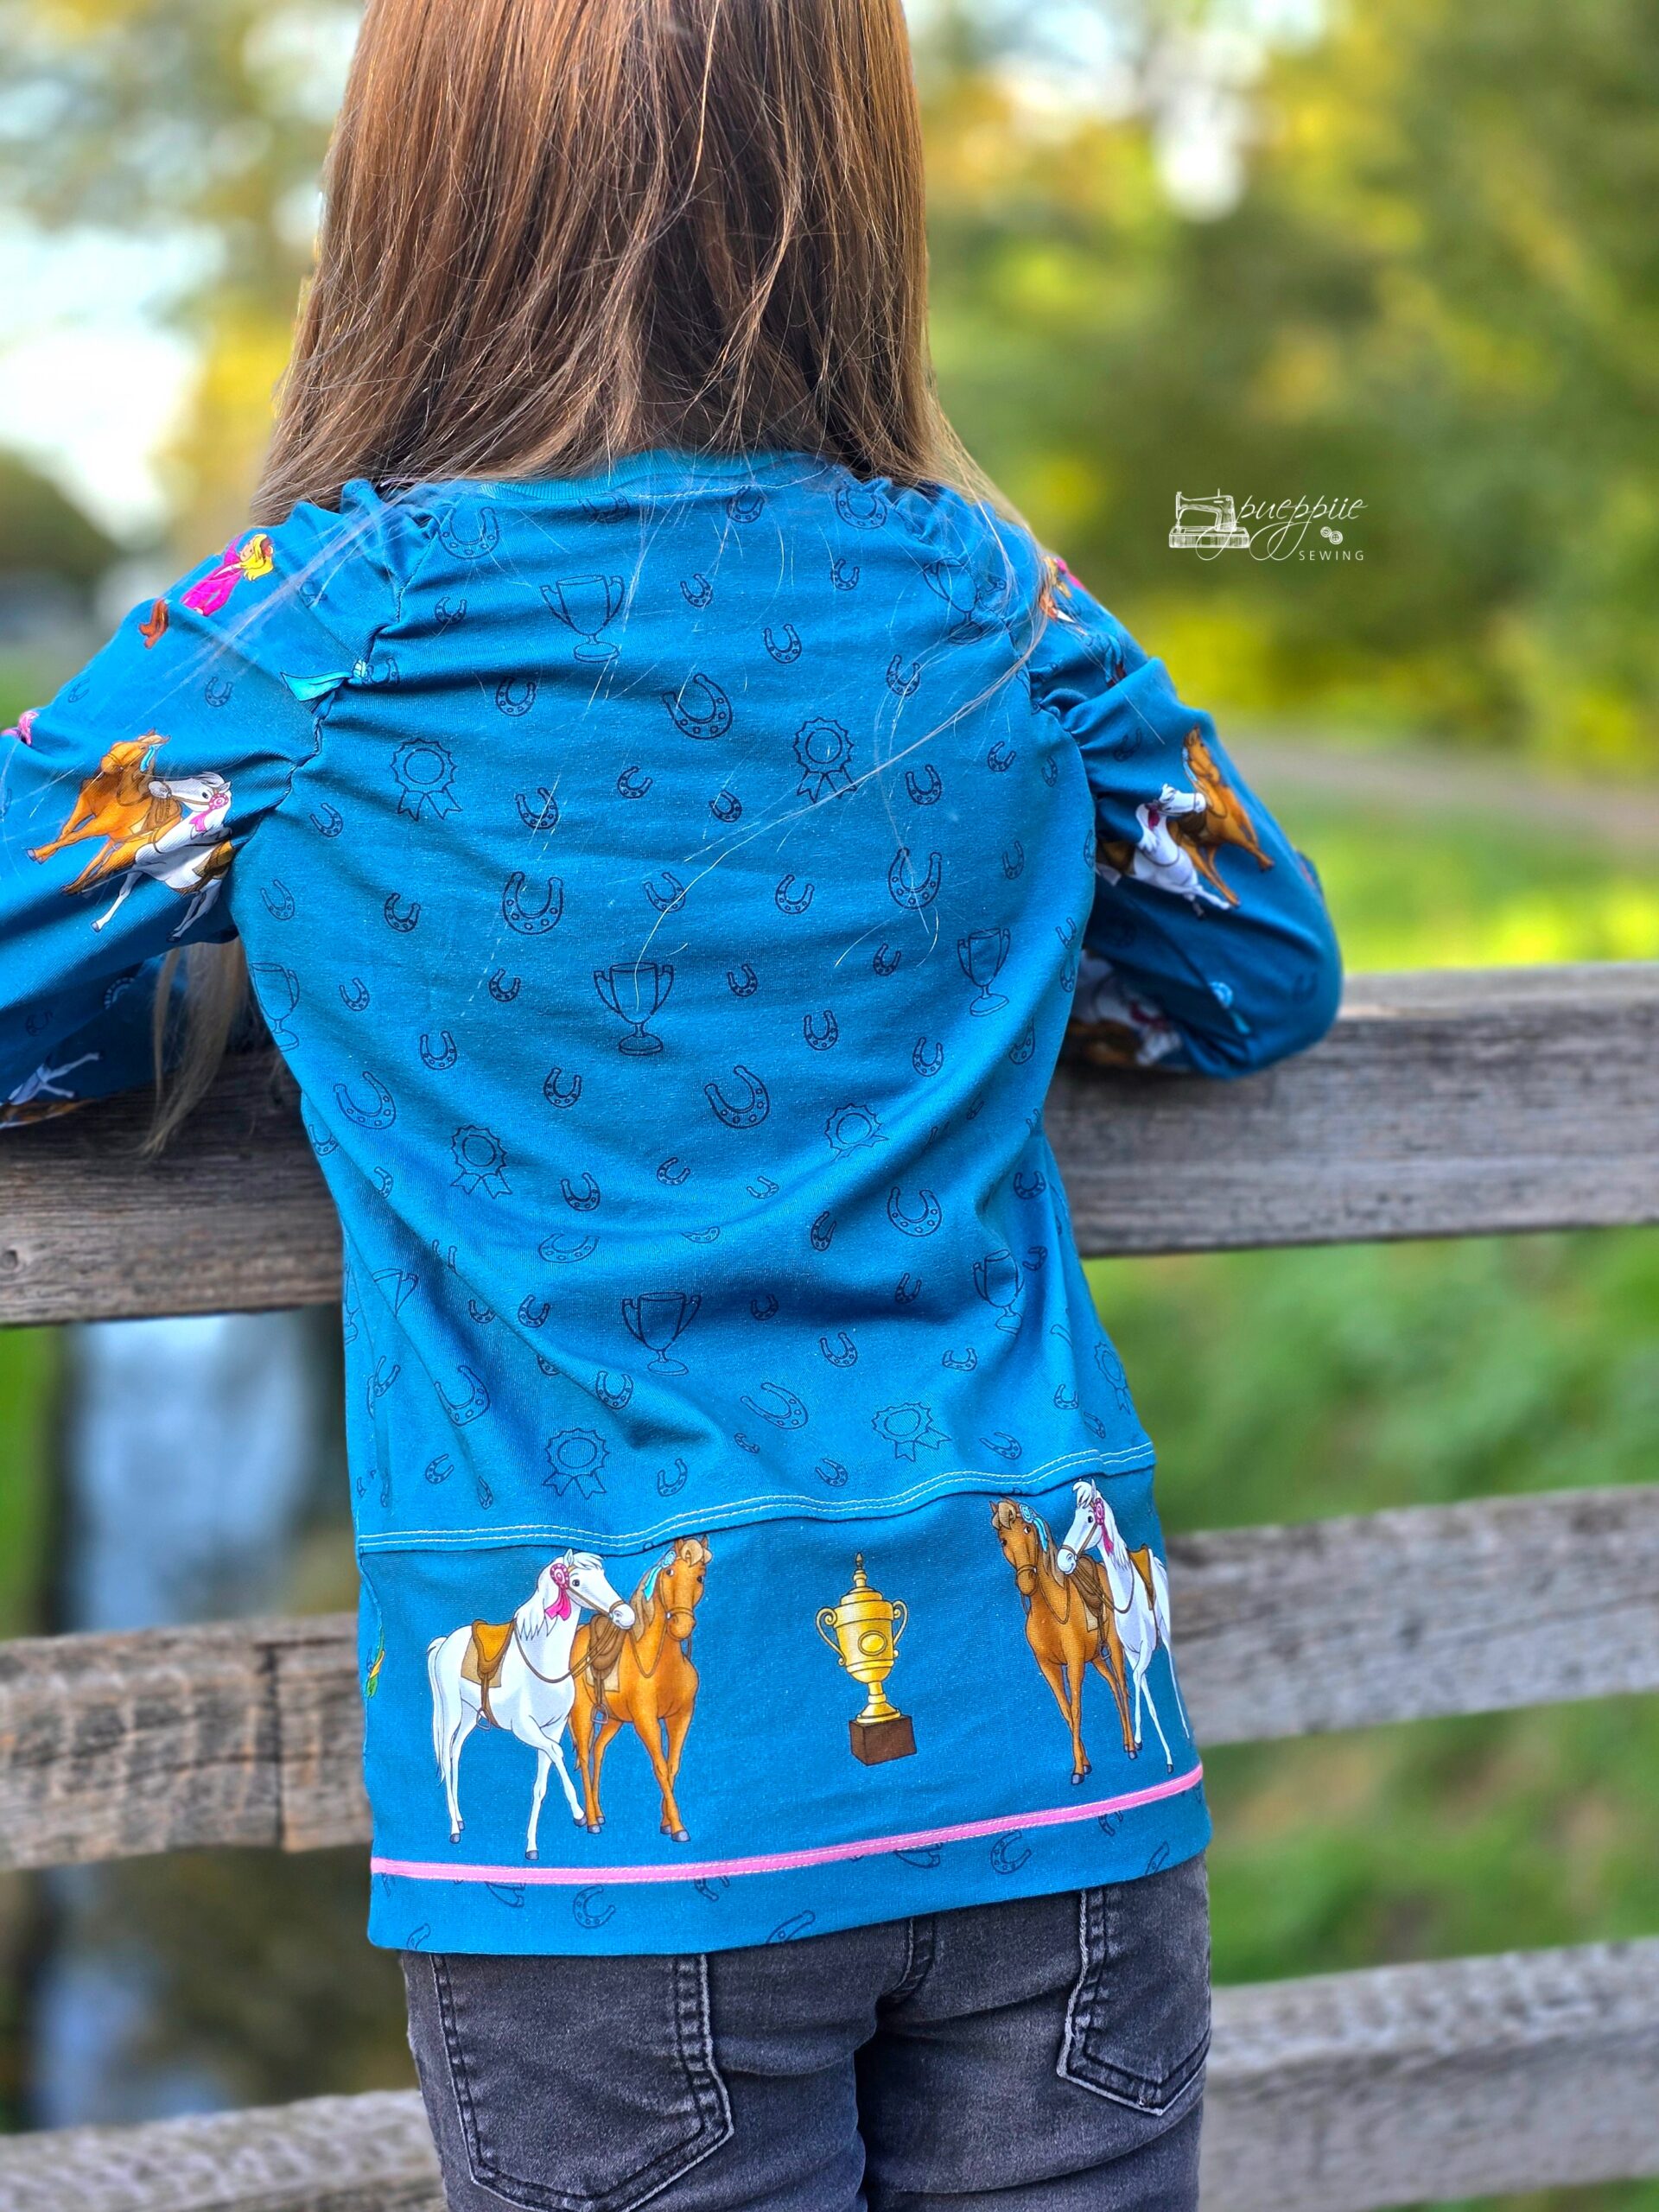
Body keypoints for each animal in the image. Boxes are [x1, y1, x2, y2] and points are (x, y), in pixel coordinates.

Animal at [427, 1553, 634, 1860]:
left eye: (603, 1575)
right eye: (575, 1582)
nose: (626, 1616)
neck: (542, 1662)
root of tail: (445, 1643)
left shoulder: (552, 1728)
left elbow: (541, 1785)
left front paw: (532, 1846)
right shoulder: (526, 1729)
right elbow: (558, 1753)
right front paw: (579, 1814)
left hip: (470, 1715)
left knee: (455, 1754)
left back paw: (461, 1820)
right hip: (452, 1711)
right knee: (446, 1754)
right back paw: (453, 1828)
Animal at [570, 1534, 711, 1843]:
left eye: (699, 1577)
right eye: (670, 1573)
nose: (682, 1626)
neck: (658, 1662)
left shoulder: (681, 1716)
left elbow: (672, 1766)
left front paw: (667, 1822)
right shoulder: (646, 1720)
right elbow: (659, 1766)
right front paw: (678, 1828)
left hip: (613, 1719)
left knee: (598, 1751)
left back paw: (599, 1813)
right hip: (582, 1713)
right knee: (584, 1757)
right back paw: (592, 1821)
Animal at [990, 1498, 1134, 1785]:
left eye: (1027, 1530)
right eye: (1002, 1540)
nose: (1026, 1582)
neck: (1050, 1610)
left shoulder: (1075, 1662)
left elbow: (1076, 1709)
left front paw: (1077, 1770)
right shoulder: (1047, 1666)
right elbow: (1066, 1710)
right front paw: (1084, 1764)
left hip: (1113, 1647)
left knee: (1122, 1686)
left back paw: (1132, 1746)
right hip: (1096, 1657)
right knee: (1113, 1686)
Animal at [1056, 1480, 1185, 1769]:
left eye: (1089, 1518)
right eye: (1074, 1517)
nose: (1063, 1561)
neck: (1127, 1593)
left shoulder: (1146, 1649)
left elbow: (1136, 1681)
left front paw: (1137, 1739)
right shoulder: (1131, 1652)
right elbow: (1146, 1694)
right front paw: (1166, 1755)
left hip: (1166, 1639)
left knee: (1172, 1675)